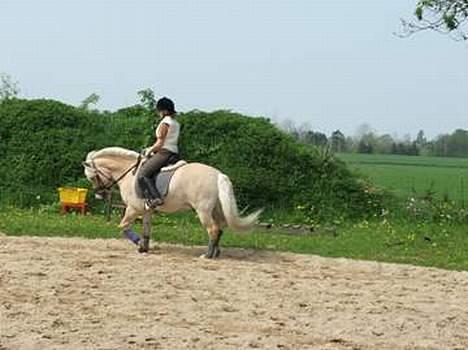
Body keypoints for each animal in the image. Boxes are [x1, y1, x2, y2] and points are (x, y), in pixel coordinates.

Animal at [82, 146, 262, 258]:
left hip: (203, 211)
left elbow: (123, 226)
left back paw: (207, 255)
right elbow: (146, 230)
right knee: (220, 229)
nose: (99, 195)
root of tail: (218, 174)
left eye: (92, 177)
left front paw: (140, 244)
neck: (129, 173)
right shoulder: (147, 210)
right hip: (216, 209)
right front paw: (144, 247)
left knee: (213, 229)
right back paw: (216, 253)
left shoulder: (133, 209)